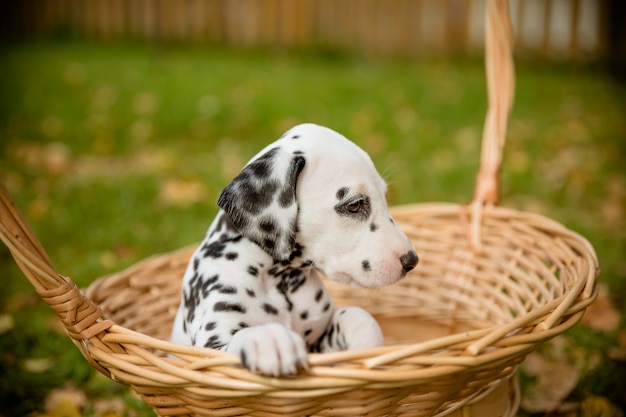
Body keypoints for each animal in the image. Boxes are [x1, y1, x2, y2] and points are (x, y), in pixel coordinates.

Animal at [168, 122, 416, 376]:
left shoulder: (319, 341)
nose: (411, 260)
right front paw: (268, 339)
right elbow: (241, 338)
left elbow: (360, 317)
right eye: (355, 204)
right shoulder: (210, 345)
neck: (281, 282)